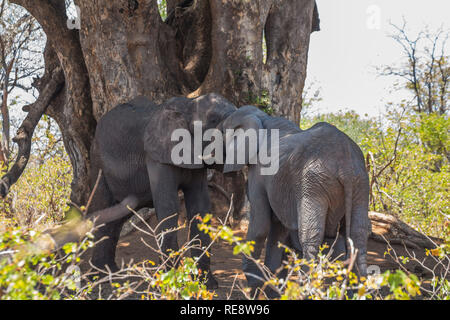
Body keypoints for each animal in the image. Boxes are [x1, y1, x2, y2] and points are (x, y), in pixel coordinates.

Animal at [85, 92, 237, 288]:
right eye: (213, 120)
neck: (187, 107)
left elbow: (200, 208)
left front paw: (207, 285)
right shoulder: (157, 156)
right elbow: (168, 206)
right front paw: (172, 285)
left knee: (117, 217)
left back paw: (110, 273)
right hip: (98, 165)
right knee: (104, 210)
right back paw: (98, 278)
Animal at [220, 105, 370, 292]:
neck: (262, 118)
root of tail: (346, 166)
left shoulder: (260, 173)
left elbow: (260, 226)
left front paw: (254, 284)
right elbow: (278, 230)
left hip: (312, 182)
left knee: (311, 236)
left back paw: (307, 289)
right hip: (360, 184)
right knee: (357, 234)